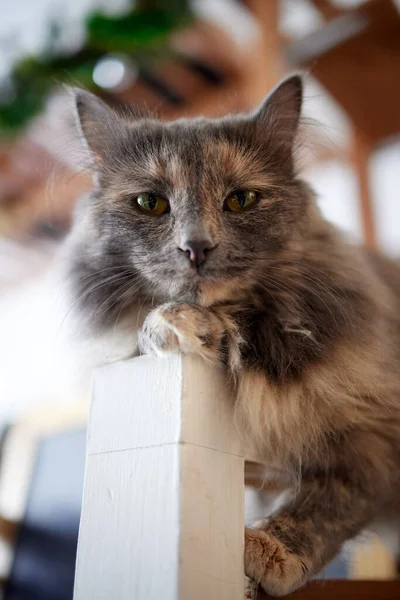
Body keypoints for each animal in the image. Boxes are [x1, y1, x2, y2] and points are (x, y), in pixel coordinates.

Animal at [65, 77, 400, 596]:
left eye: (241, 200)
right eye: (150, 203)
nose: (196, 247)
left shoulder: (374, 438)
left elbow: (327, 502)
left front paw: (267, 552)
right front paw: (173, 326)